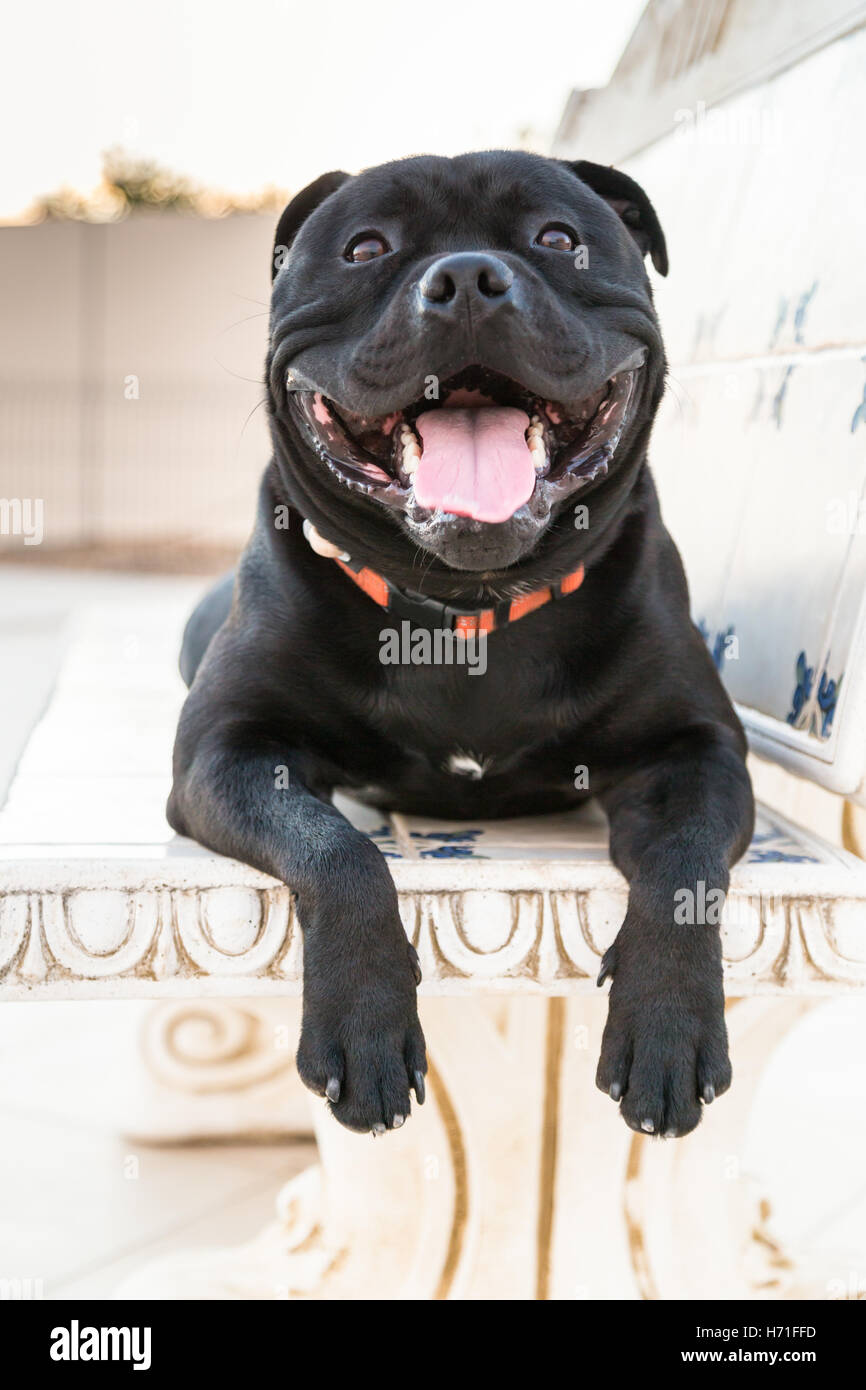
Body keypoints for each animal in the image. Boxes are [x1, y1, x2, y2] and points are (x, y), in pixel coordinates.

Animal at [169, 152, 750, 1139]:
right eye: (366, 249)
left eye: (558, 237)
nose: (469, 278)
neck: (463, 613)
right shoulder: (226, 751)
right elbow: (336, 849)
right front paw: (364, 1025)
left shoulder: (697, 750)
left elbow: (686, 864)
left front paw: (668, 1028)